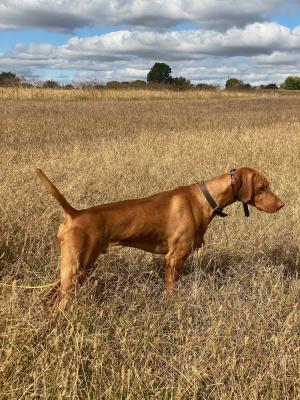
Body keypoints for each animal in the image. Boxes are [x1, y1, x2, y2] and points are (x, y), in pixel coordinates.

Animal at [37, 167, 284, 310]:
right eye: (262, 187)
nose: (282, 204)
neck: (206, 199)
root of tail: (74, 213)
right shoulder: (174, 259)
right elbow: (171, 292)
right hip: (78, 267)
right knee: (59, 303)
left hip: (76, 268)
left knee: (49, 296)